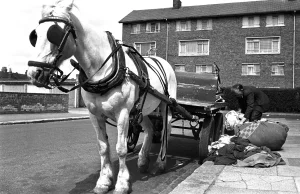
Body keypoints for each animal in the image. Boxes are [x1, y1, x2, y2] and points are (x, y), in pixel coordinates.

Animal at [27, 0, 177, 194]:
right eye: (35, 36)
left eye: (54, 33)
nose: (33, 73)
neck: (102, 69)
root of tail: (162, 61)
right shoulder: (95, 115)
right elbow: (103, 147)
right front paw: (104, 181)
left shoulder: (123, 113)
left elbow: (120, 148)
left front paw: (122, 183)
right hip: (142, 109)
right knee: (150, 129)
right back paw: (143, 161)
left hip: (166, 105)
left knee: (166, 130)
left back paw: (160, 163)